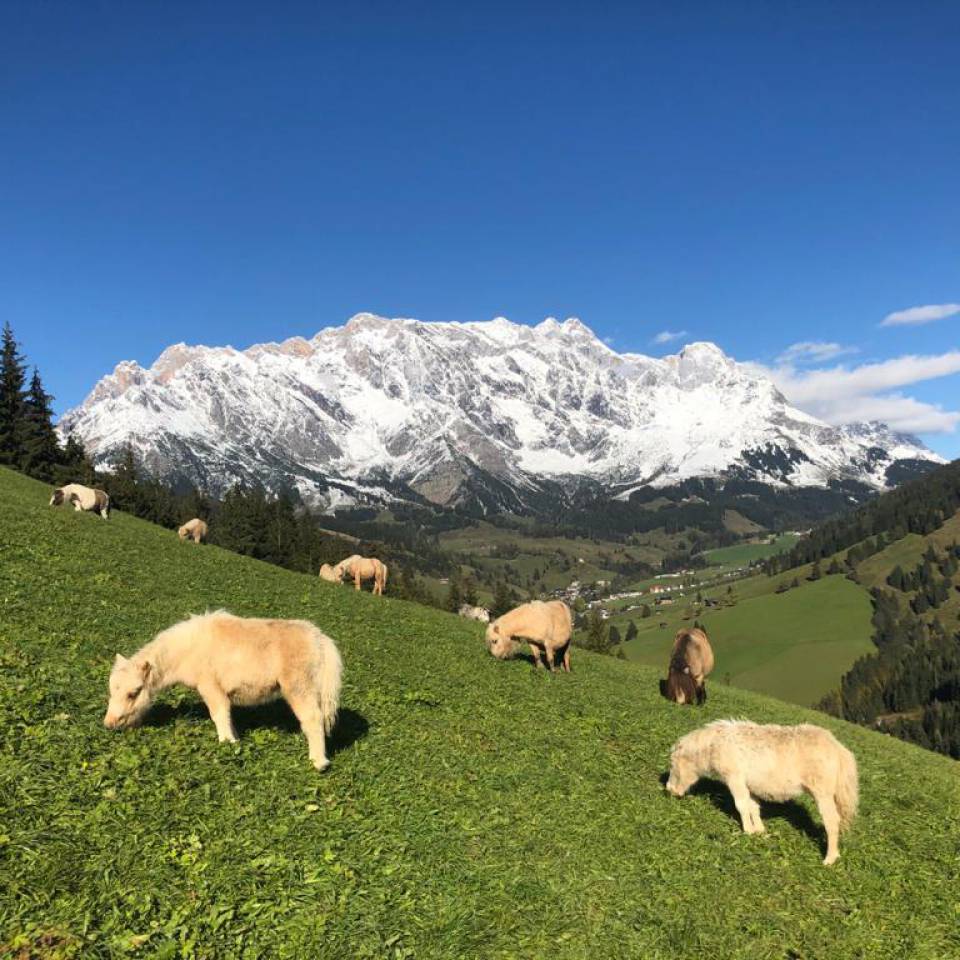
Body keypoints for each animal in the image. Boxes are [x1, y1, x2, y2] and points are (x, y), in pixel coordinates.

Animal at [664, 720, 860, 872]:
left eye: (673, 764)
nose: (669, 790)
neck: (714, 744)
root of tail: (838, 749)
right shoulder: (749, 784)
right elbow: (753, 807)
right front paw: (759, 831)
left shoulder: (734, 777)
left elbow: (741, 805)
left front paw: (748, 831)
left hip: (823, 793)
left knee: (832, 821)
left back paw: (830, 859)